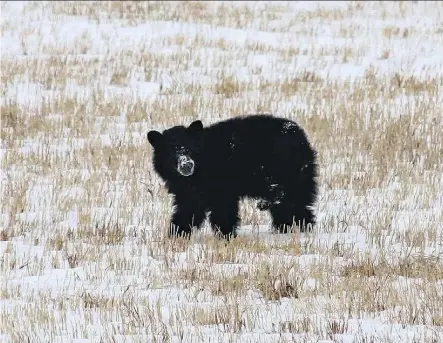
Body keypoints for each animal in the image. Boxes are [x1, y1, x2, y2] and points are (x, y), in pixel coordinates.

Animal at [148, 114, 320, 241]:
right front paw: (176, 234)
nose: (186, 165)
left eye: (190, 149)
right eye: (172, 153)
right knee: (292, 205)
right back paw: (290, 227)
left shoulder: (221, 181)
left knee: (289, 197)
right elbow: (189, 209)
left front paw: (226, 235)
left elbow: (223, 208)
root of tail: (299, 134)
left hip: (283, 167)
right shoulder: (189, 189)